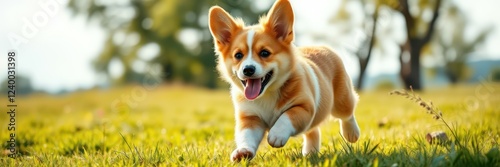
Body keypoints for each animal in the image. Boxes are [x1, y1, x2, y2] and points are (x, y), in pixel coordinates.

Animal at [209, 0, 362, 162]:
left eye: (265, 53)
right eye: (238, 55)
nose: (248, 69)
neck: (267, 93)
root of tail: (322, 46)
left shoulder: (304, 107)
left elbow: (286, 117)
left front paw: (276, 134)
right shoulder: (250, 117)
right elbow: (246, 136)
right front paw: (243, 151)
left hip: (341, 101)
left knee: (347, 113)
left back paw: (351, 133)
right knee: (313, 131)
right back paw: (310, 152)